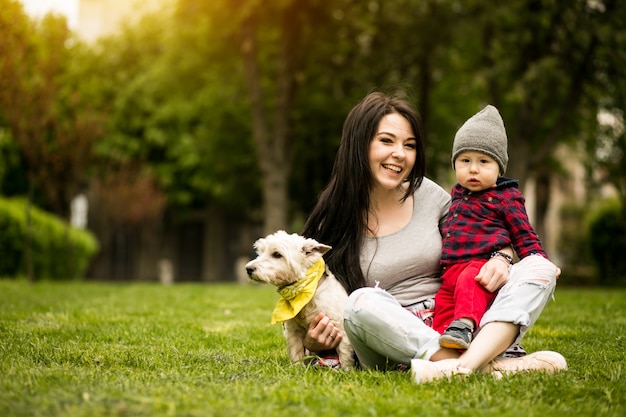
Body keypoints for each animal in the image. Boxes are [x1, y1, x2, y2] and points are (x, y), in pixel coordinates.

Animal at [245, 231, 354, 370]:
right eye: (261, 251)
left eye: (277, 254)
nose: (248, 268)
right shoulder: (293, 332)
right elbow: (296, 353)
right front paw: (297, 370)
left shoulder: (341, 331)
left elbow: (345, 356)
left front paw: (346, 371)